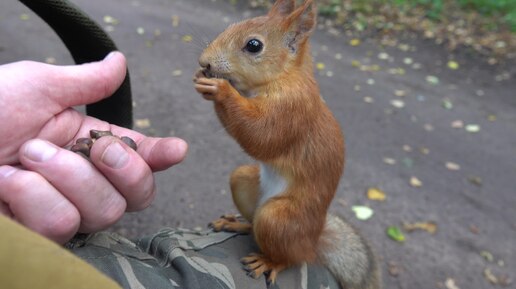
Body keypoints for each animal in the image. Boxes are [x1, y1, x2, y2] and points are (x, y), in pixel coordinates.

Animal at [194, 1, 378, 286]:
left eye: (254, 45)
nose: (205, 61)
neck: (286, 76)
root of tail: (312, 243)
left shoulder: (291, 109)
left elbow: (261, 135)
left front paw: (220, 90)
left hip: (279, 219)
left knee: (290, 257)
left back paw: (268, 262)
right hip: (243, 180)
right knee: (253, 223)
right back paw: (236, 224)